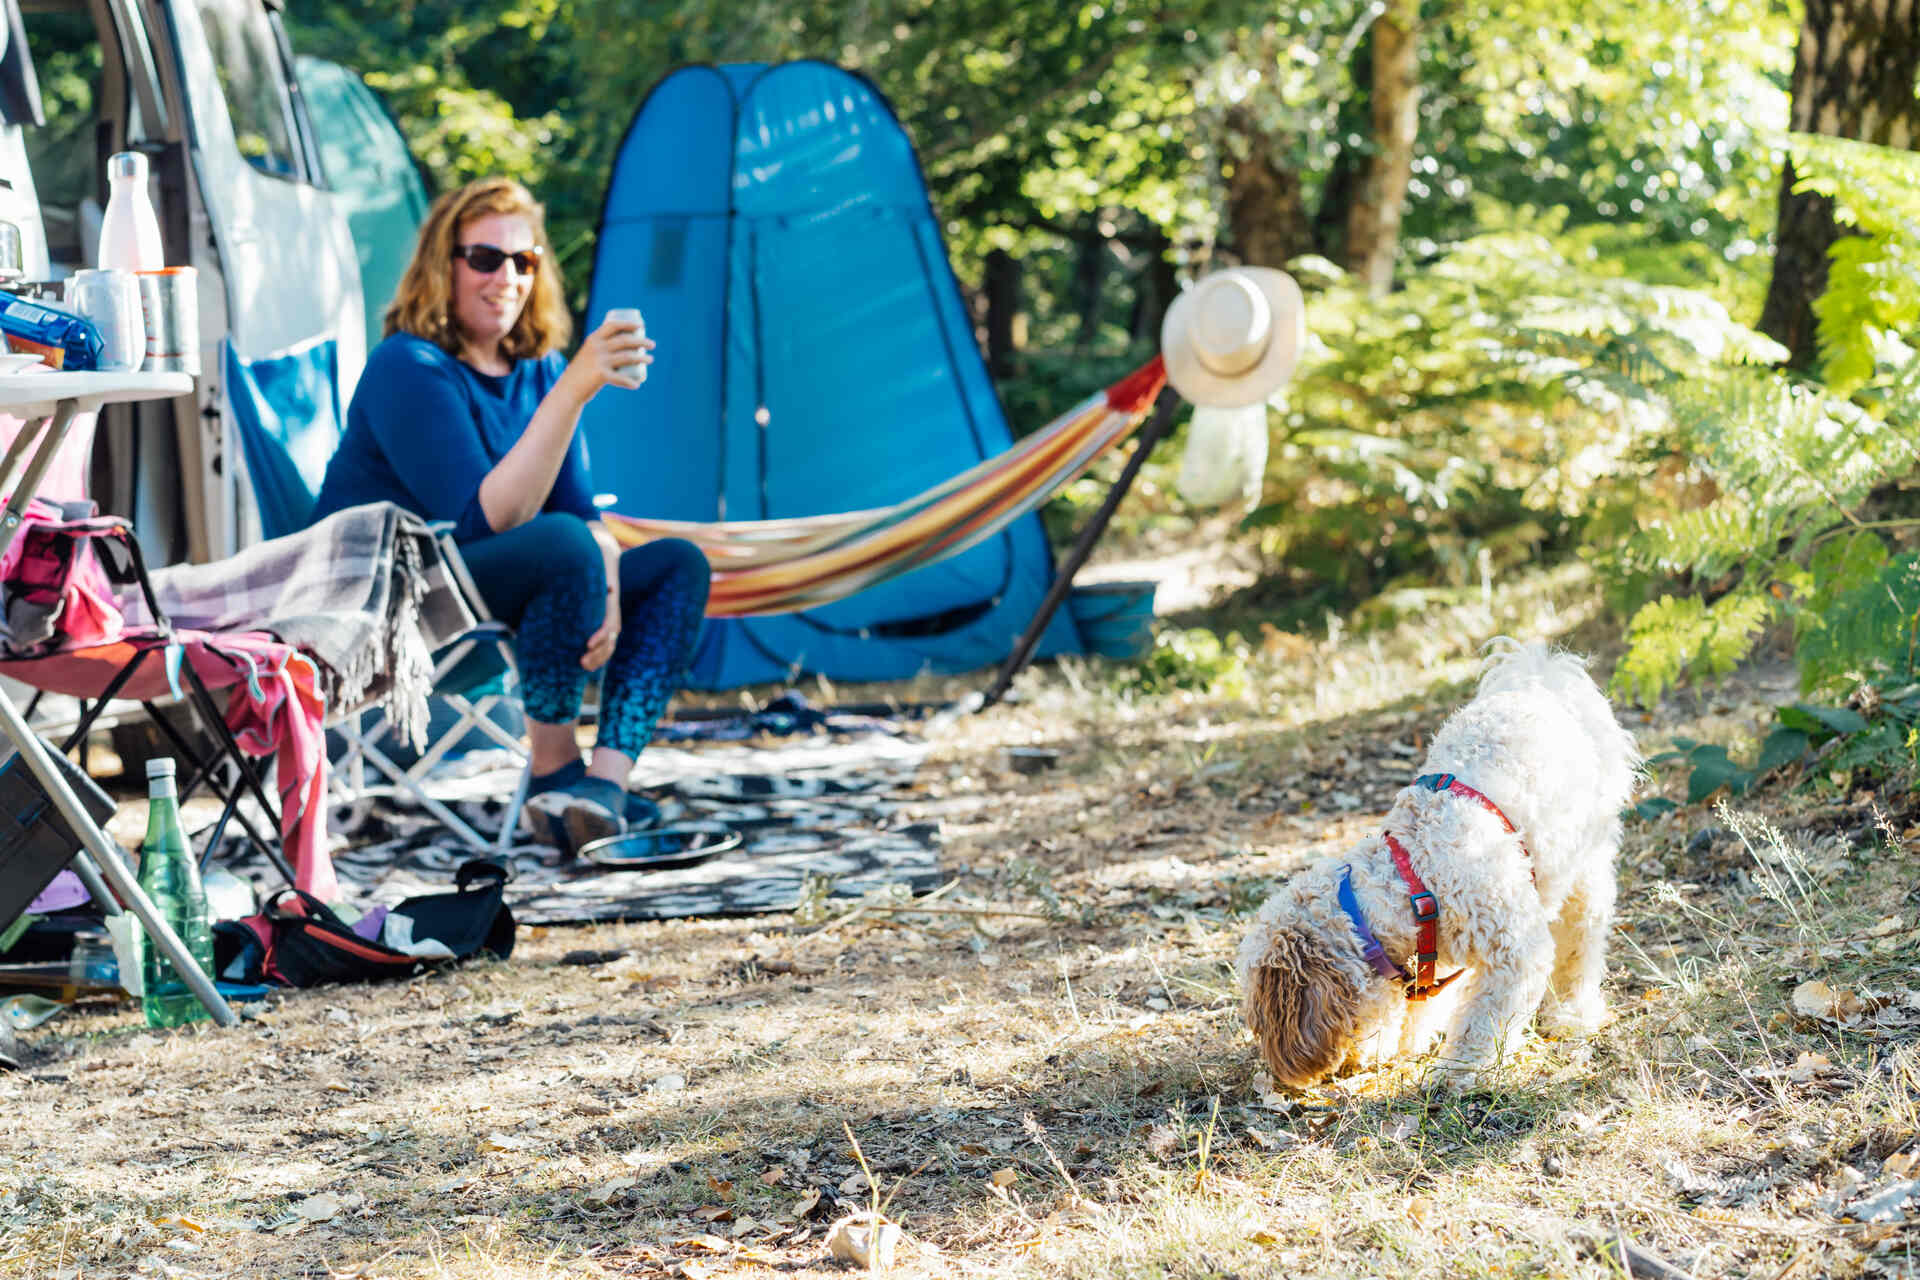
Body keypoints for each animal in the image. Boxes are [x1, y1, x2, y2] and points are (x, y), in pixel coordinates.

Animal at [1244, 640, 1635, 1090]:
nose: (1283, 1075)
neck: (1414, 874)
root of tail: (1541, 678)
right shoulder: (1436, 952)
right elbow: (1428, 1000)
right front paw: (1412, 1041)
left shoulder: (1516, 952)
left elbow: (1482, 1022)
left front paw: (1458, 1071)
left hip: (1588, 865)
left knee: (1581, 942)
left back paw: (1574, 1012)